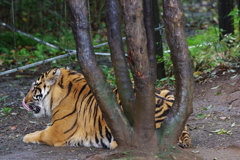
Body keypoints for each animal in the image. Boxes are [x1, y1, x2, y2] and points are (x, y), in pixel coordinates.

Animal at [22, 68, 191, 150]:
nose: (23, 100)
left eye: (34, 88)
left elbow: (40, 133)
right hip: (166, 91)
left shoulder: (57, 132)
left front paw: (25, 137)